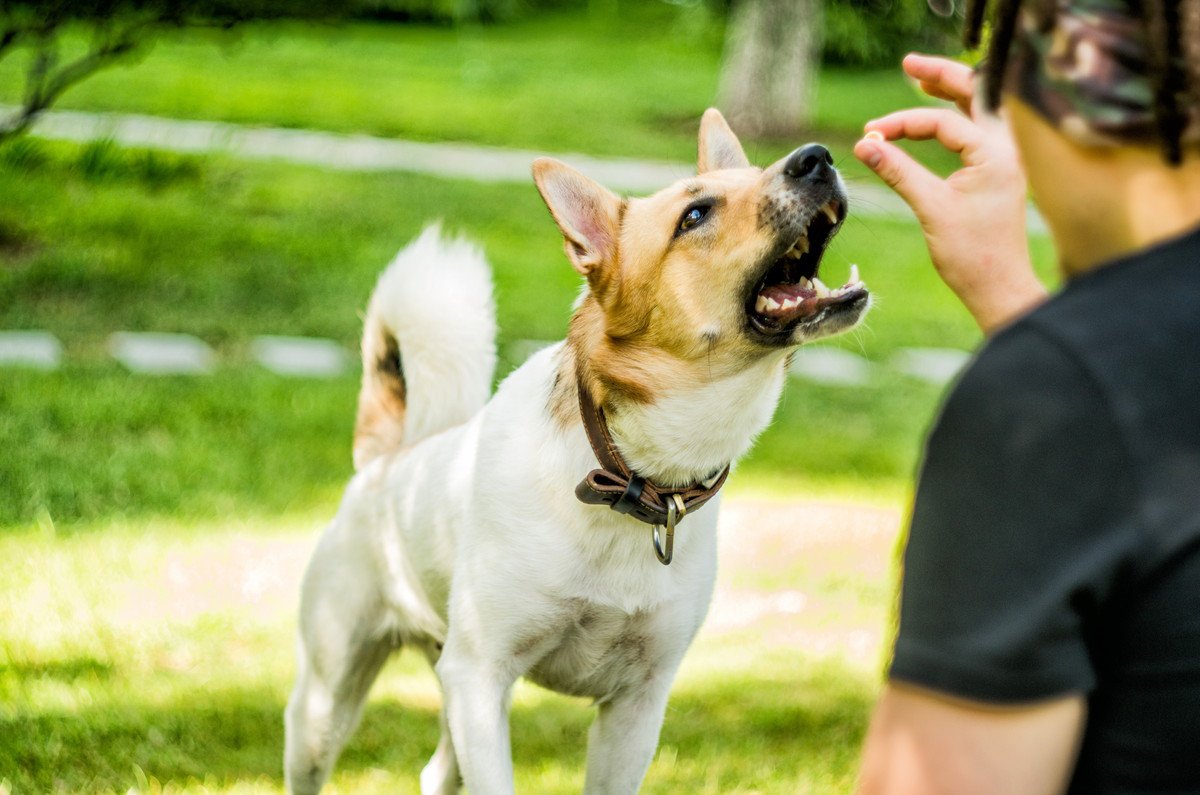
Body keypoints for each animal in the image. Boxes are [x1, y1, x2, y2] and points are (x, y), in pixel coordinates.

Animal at [288, 107, 873, 795]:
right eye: (695, 215)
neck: (628, 471)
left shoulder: (636, 705)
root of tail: (385, 463)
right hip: (329, 705)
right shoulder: (482, 677)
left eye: (759, 172)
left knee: (436, 774)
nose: (818, 157)